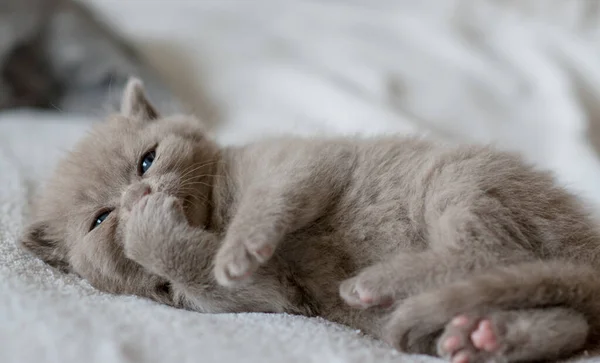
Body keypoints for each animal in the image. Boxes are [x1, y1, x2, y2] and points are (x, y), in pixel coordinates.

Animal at [18, 79, 600, 363]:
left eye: (146, 160)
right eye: (100, 219)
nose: (137, 194)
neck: (212, 215)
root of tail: (589, 249)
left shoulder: (299, 159)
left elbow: (274, 197)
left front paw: (235, 245)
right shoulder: (261, 296)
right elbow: (217, 278)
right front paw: (151, 232)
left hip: (460, 181)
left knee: (484, 249)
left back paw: (375, 284)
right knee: (563, 319)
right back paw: (486, 339)